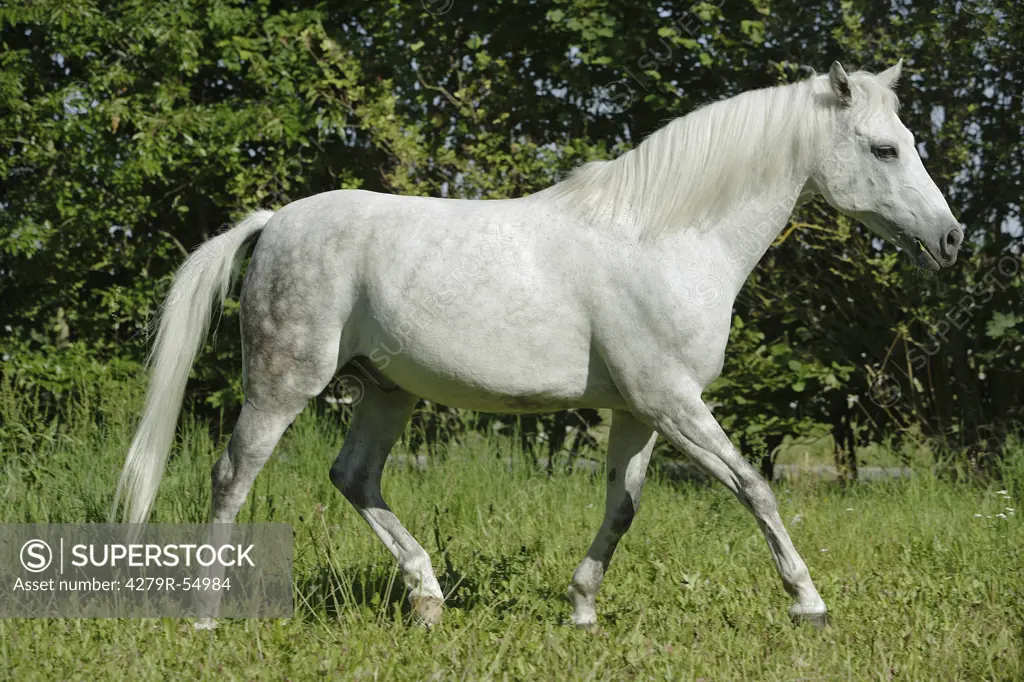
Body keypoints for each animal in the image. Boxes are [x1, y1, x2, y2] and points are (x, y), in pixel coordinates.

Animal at [116, 62, 962, 626]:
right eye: (885, 149)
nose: (950, 239)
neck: (664, 237)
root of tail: (273, 222)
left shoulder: (641, 411)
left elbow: (622, 506)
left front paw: (581, 610)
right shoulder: (674, 402)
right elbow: (754, 487)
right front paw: (808, 604)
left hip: (387, 391)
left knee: (354, 477)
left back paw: (429, 601)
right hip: (285, 380)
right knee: (233, 476)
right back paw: (207, 614)